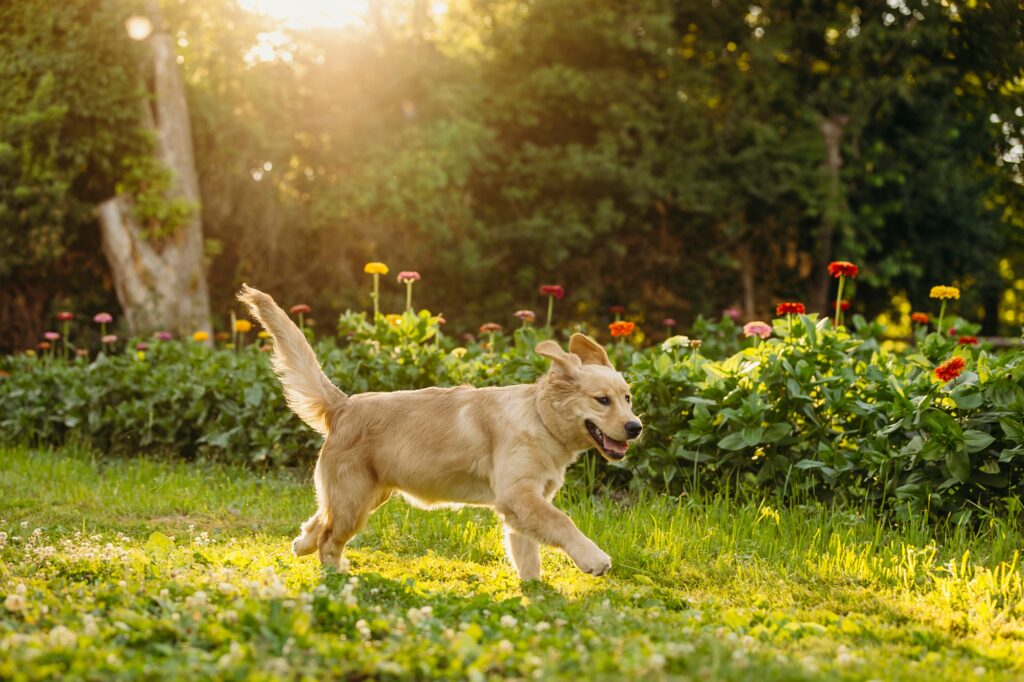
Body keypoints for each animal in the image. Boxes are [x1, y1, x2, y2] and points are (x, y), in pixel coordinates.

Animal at [236, 284, 643, 577]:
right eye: (602, 400)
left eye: (628, 397)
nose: (636, 427)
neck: (539, 418)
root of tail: (344, 405)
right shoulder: (519, 495)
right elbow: (561, 521)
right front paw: (593, 559)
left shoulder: (521, 505)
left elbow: (527, 550)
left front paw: (535, 592)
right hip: (354, 499)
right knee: (329, 540)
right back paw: (335, 575)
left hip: (365, 494)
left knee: (321, 519)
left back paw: (301, 544)